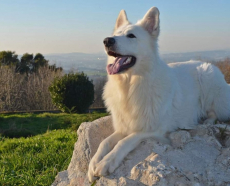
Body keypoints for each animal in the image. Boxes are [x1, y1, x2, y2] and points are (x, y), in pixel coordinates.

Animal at [87, 6, 230, 182]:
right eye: (116, 34)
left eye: (131, 36)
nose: (107, 40)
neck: (130, 86)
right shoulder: (124, 126)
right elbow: (104, 142)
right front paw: (94, 163)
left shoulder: (153, 129)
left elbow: (125, 141)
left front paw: (107, 162)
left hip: (207, 78)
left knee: (215, 113)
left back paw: (207, 121)